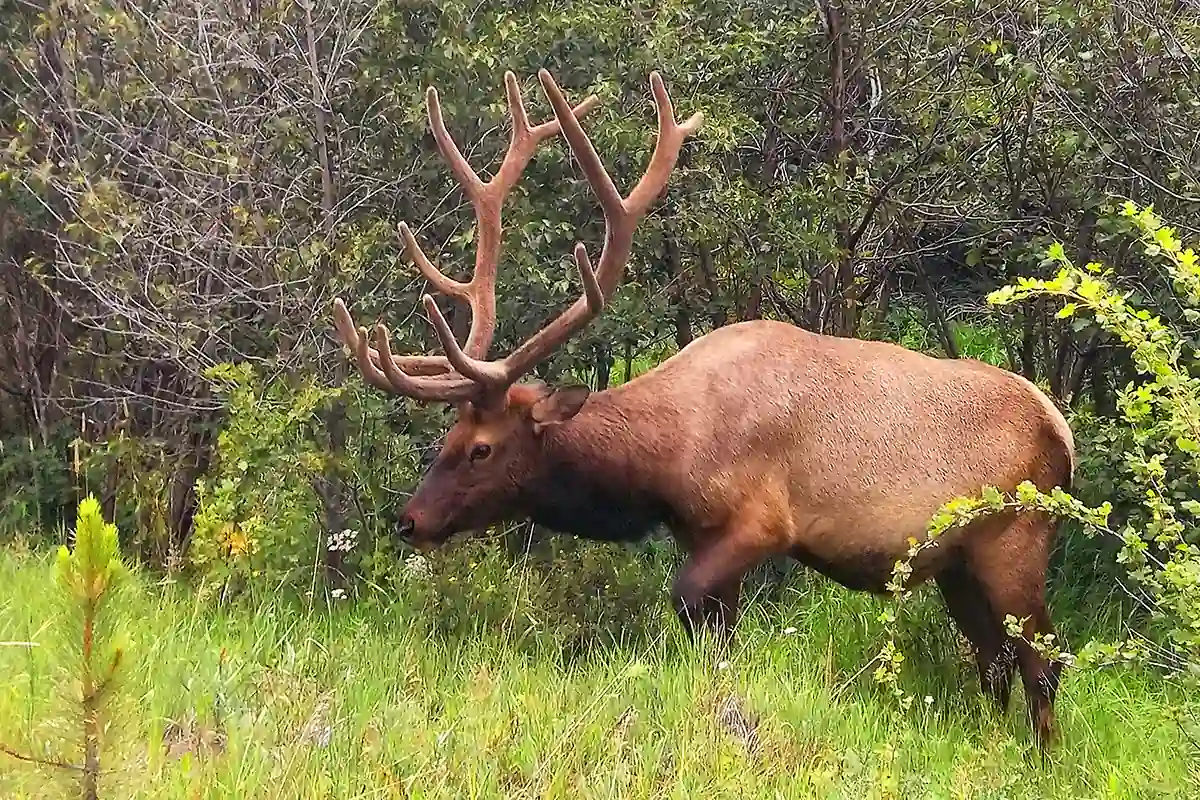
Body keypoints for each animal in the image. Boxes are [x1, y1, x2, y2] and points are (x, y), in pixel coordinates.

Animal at [331, 69, 1075, 754]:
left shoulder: (761, 522)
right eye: (447, 437)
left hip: (1017, 537)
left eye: (482, 447)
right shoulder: (703, 536)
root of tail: (1062, 431)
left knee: (1043, 658)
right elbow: (717, 638)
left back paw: (1040, 760)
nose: (409, 520)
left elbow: (686, 602)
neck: (664, 461)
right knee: (993, 660)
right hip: (957, 561)